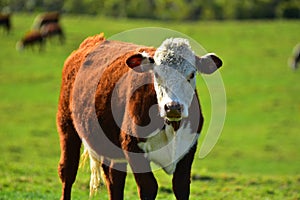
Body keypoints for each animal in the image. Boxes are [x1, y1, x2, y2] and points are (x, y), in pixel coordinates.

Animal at [56, 33, 223, 199]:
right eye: (156, 74)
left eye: (192, 74)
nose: (173, 107)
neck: (171, 127)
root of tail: (93, 41)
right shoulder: (132, 146)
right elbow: (149, 187)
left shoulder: (188, 148)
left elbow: (181, 186)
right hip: (67, 124)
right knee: (68, 171)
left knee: (113, 177)